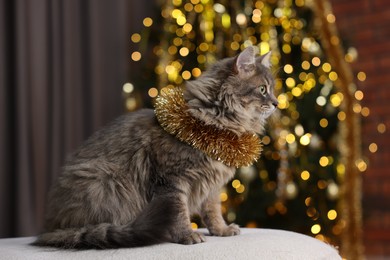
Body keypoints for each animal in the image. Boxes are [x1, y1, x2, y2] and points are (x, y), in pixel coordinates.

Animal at [32, 45, 278, 249]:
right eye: (263, 89)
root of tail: (49, 227)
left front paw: (222, 230)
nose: (277, 103)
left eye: (272, 89)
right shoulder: (171, 181)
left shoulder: (212, 187)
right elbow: (180, 212)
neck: (214, 124)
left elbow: (213, 212)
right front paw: (187, 235)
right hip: (104, 180)